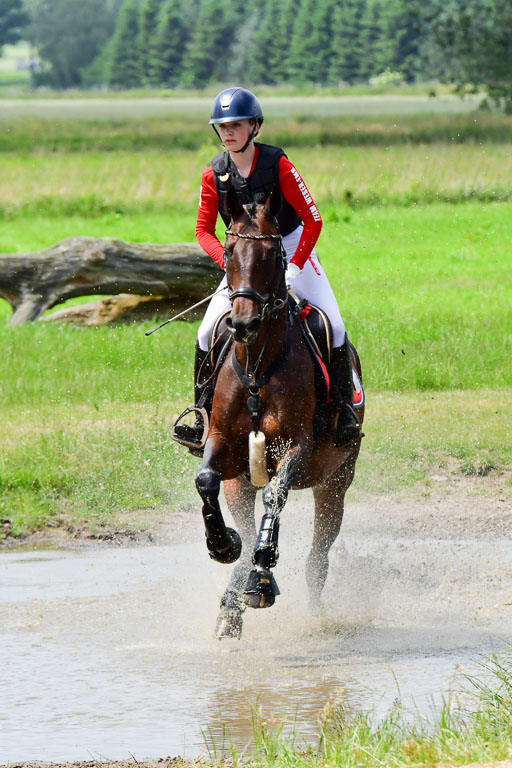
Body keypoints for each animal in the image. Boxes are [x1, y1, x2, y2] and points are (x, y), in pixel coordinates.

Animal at [192, 186, 364, 639]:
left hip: (335, 485)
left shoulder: (297, 446)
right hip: (239, 483)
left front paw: (263, 579)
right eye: (228, 250)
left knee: (318, 556)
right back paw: (230, 602)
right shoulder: (222, 443)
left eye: (271, 254)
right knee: (242, 516)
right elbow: (205, 481)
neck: (257, 366)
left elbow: (276, 493)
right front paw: (222, 544)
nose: (242, 323)